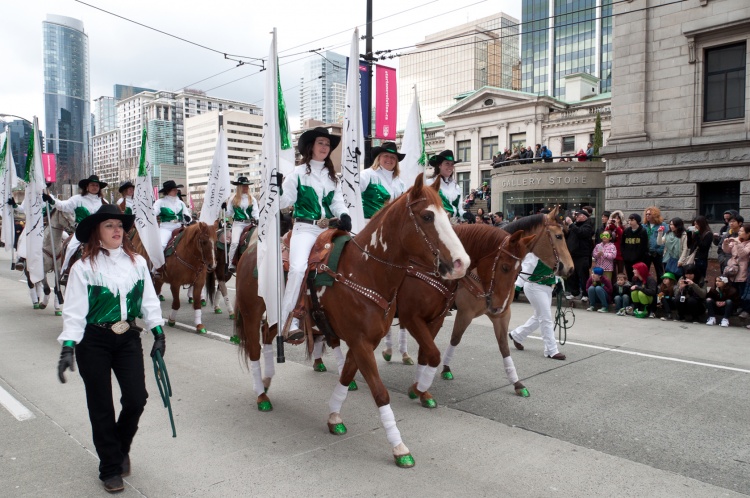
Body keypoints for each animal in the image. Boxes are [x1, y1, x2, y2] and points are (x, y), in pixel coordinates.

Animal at [235, 174, 470, 466]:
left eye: (448, 215)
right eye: (427, 216)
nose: (462, 263)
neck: (364, 270)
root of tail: (250, 251)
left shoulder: (364, 342)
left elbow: (346, 377)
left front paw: (334, 416)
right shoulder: (361, 343)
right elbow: (380, 392)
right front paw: (399, 447)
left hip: (276, 316)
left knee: (269, 338)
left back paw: (267, 381)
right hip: (251, 313)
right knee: (255, 351)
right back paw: (261, 394)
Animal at [440, 206, 576, 392]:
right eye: (558, 236)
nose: (570, 268)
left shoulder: (501, 314)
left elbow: (504, 346)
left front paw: (517, 383)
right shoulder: (465, 313)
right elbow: (455, 338)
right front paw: (445, 368)